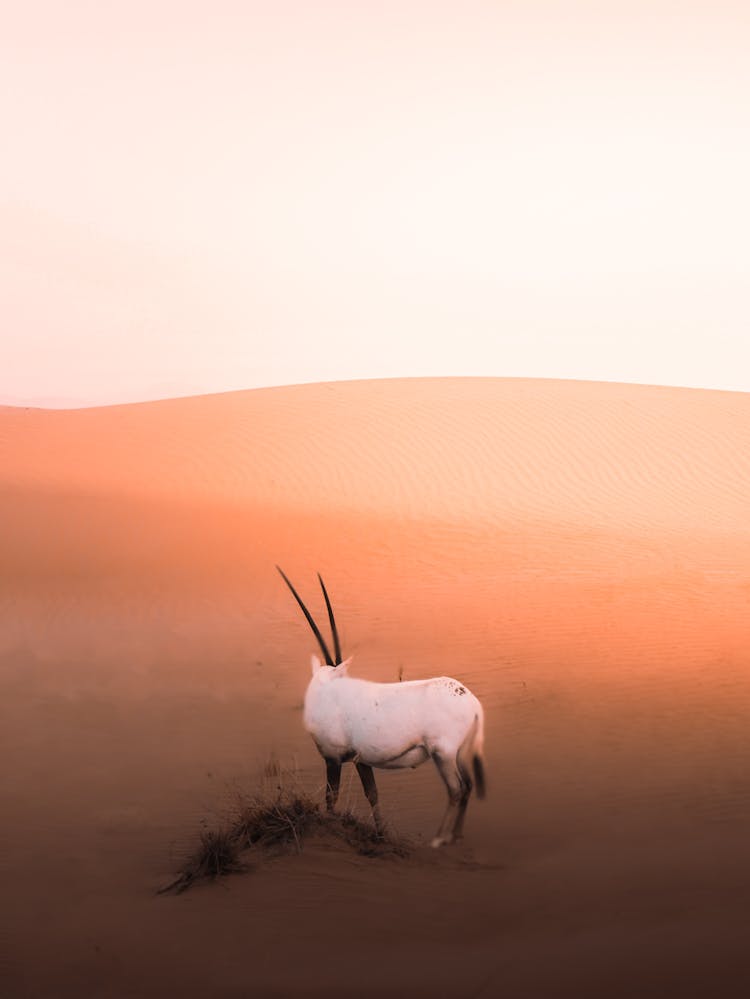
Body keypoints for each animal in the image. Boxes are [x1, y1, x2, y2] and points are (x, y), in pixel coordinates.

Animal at [278, 568, 488, 848]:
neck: (329, 694)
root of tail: (472, 702)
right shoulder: (361, 760)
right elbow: (372, 794)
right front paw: (379, 834)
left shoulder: (333, 759)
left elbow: (332, 797)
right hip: (460, 753)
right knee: (468, 786)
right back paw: (454, 837)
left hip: (442, 753)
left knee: (456, 790)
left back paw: (438, 839)